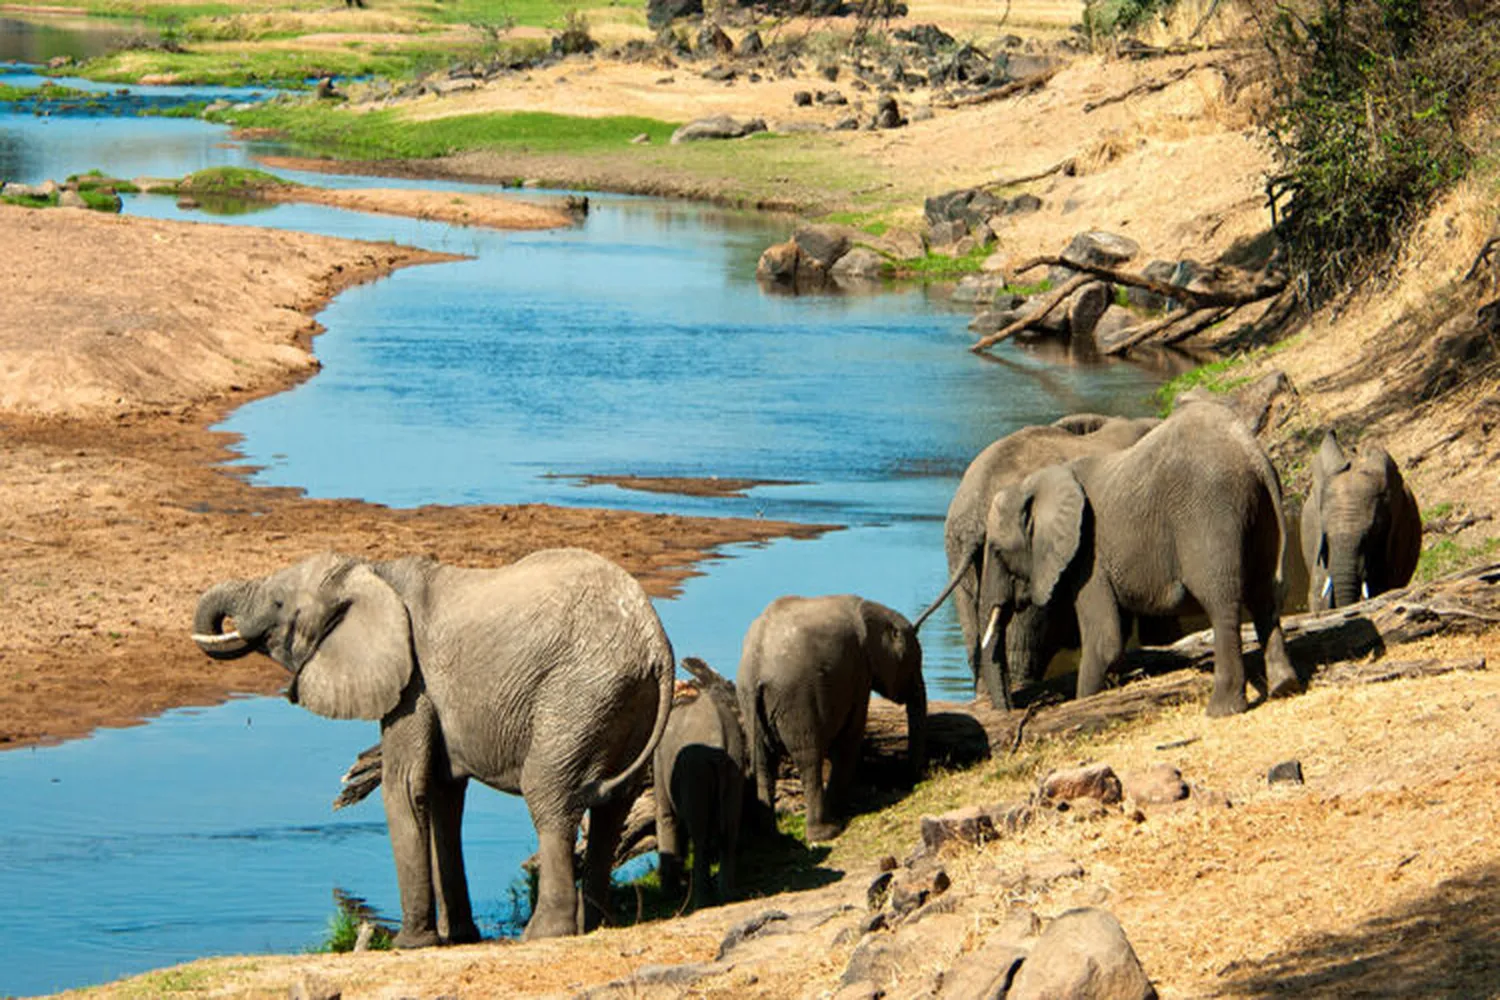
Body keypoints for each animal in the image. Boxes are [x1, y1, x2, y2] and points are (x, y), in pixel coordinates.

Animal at [191, 548, 675, 945]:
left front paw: (411, 944)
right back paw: (595, 924)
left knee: (549, 797)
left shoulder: (413, 683)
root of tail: (656, 643)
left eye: (278, 605)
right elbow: (443, 796)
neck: (373, 572)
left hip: (577, 694)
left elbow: (404, 786)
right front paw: (459, 937)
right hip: (621, 702)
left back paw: (544, 934)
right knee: (612, 809)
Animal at [653, 657, 747, 910]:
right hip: (735, 763)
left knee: (700, 833)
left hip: (696, 771)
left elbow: (666, 816)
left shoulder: (659, 760)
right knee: (731, 828)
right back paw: (728, 895)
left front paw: (668, 893)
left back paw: (701, 902)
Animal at [738, 595, 925, 844]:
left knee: (763, 762)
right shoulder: (859, 670)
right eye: (914, 664)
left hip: (749, 701)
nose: (912, 781)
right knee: (809, 759)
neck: (871, 608)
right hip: (797, 701)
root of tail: (756, 668)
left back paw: (772, 838)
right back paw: (826, 832)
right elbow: (850, 736)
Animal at [978, 400, 1301, 717]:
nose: (1012, 711)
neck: (1038, 481)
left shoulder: (1089, 555)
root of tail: (1251, 453)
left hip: (1209, 513)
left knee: (1222, 602)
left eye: (997, 550)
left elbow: (1104, 641)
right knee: (1265, 596)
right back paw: (1284, 687)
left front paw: (1083, 702)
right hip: (1262, 512)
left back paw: (1221, 710)